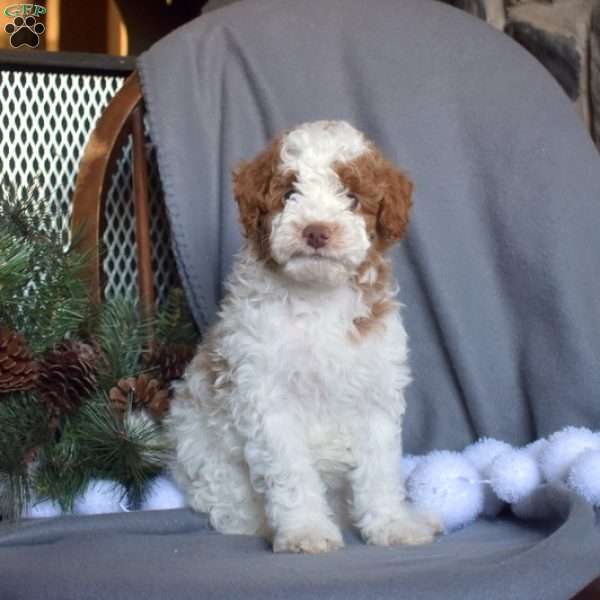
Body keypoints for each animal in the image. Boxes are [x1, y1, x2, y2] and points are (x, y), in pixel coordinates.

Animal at [166, 120, 438, 552]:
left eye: (351, 197)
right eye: (289, 193)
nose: (316, 231)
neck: (318, 297)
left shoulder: (375, 393)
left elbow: (380, 470)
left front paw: (392, 524)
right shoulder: (268, 399)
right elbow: (291, 473)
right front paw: (306, 531)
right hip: (209, 462)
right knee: (230, 508)